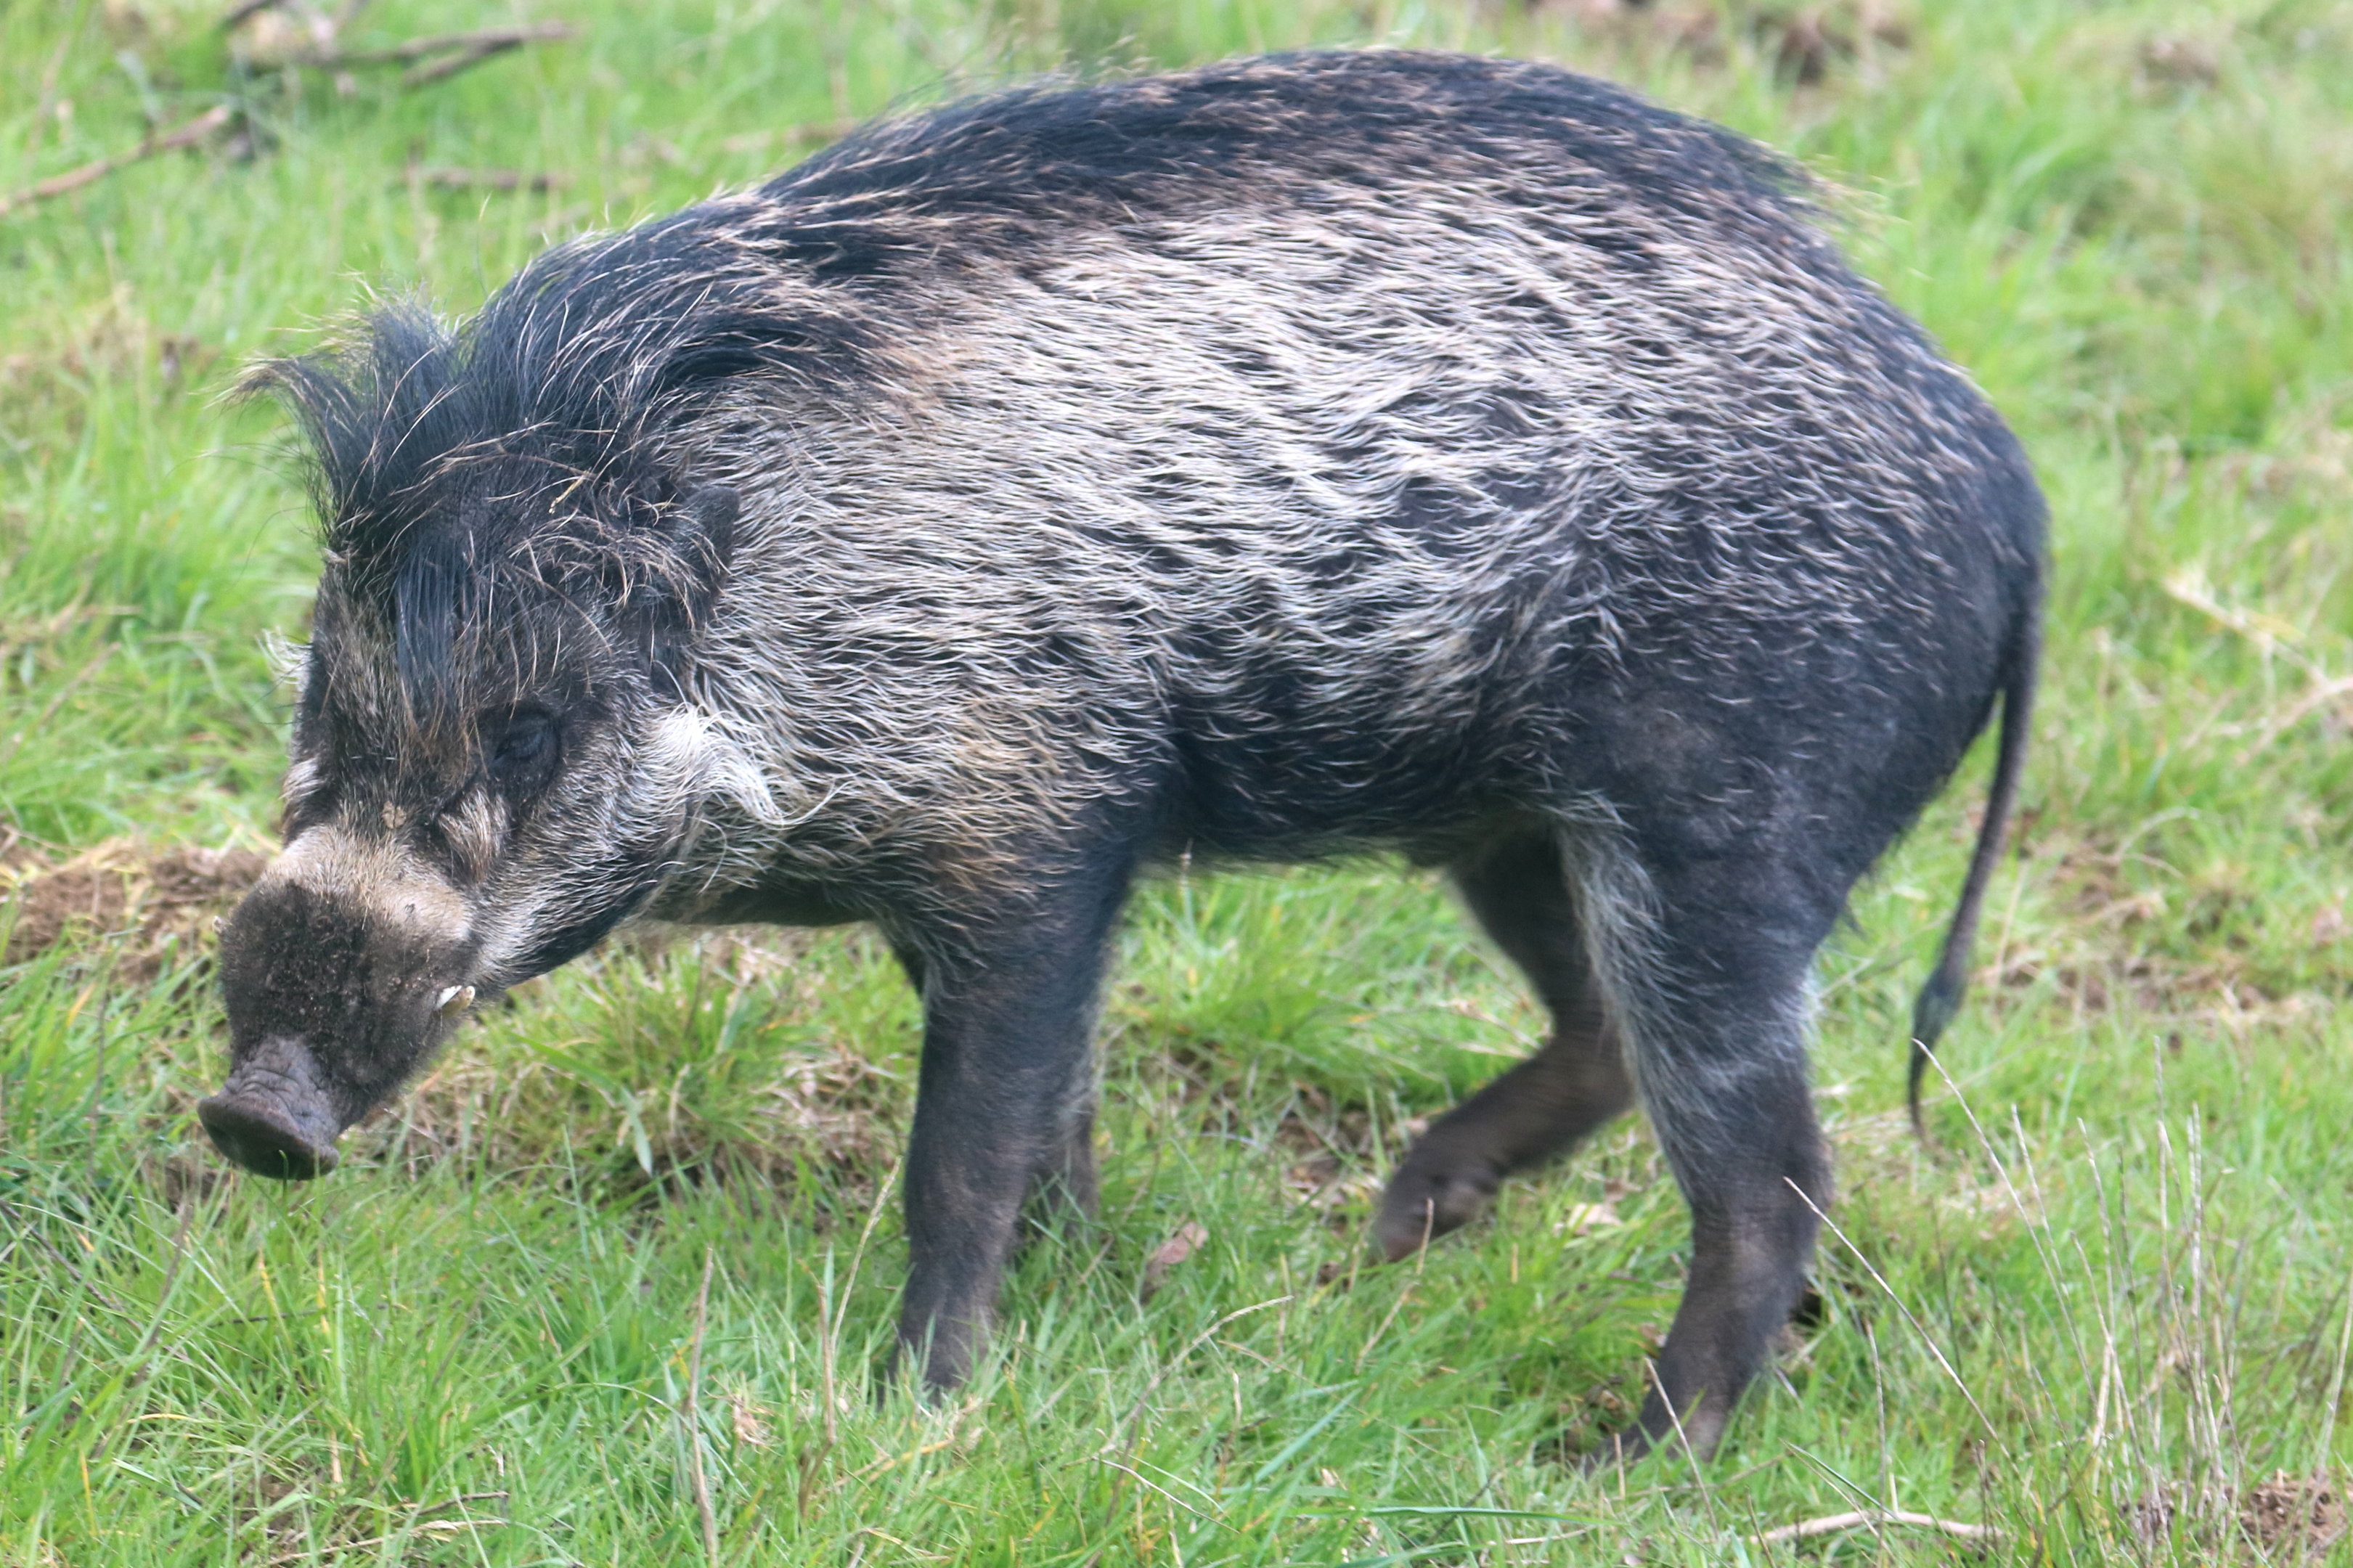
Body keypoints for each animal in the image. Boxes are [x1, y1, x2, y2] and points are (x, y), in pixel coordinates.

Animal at [201, 49, 2042, 1460]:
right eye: (321, 709)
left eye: (530, 726)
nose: (250, 1113)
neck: (791, 580)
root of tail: (2009, 491)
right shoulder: (1003, 876)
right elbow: (1055, 1119)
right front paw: (1093, 1296)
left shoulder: (1032, 833)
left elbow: (966, 1154)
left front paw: (914, 1403)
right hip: (1521, 823)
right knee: (1600, 1038)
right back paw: (1397, 1228)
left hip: (1724, 827)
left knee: (1774, 1174)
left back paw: (1622, 1460)